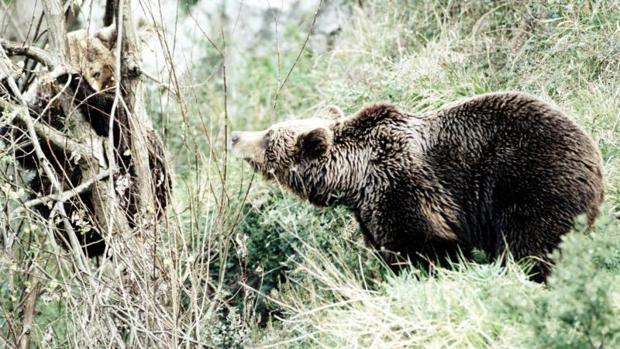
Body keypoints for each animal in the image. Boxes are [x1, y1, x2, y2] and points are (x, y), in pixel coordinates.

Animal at [230, 92, 604, 280]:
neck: (354, 178)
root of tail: (593, 155)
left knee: (531, 244)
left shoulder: (401, 187)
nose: (235, 135)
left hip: (528, 179)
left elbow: (422, 245)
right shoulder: (367, 208)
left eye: (268, 136)